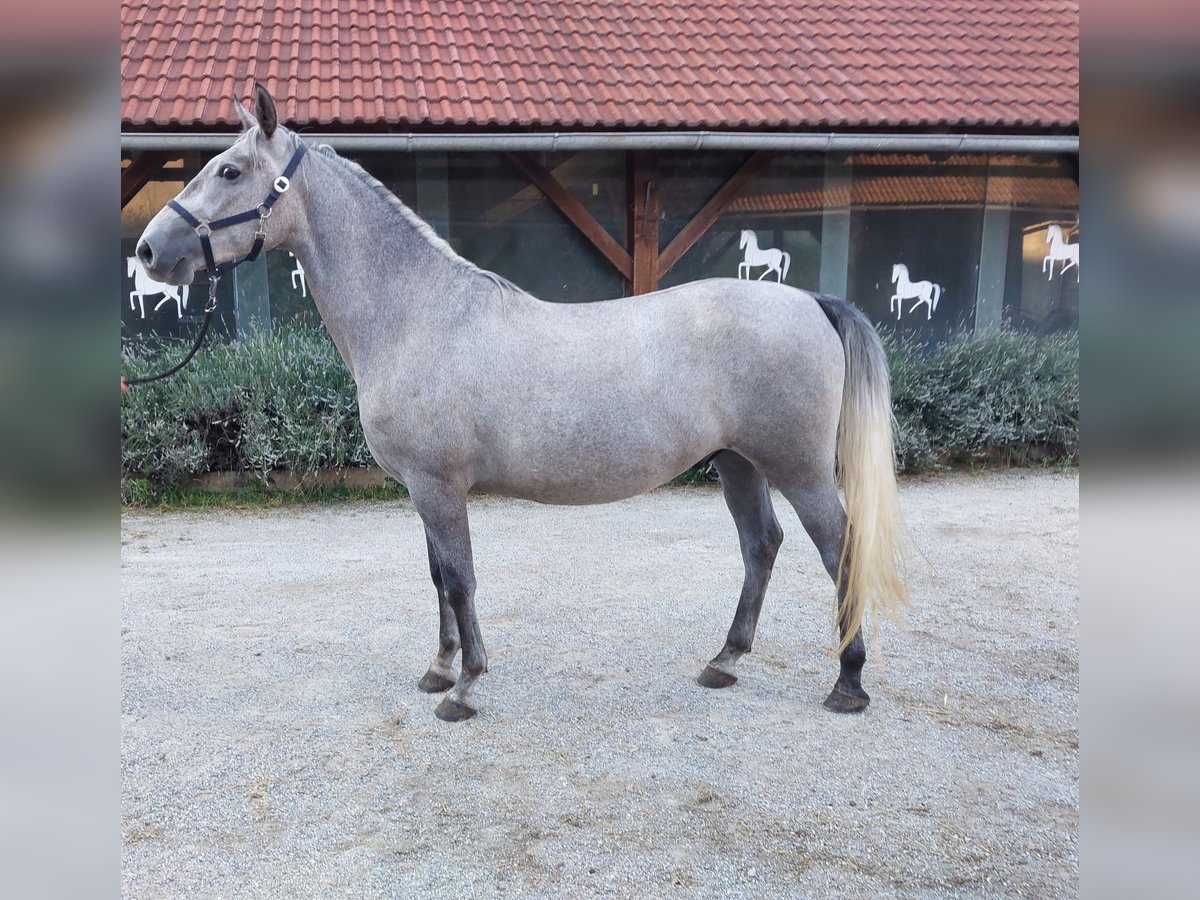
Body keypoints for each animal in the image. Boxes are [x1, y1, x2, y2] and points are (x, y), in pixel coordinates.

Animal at [136, 88, 907, 724]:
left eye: (230, 171)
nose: (148, 250)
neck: (416, 315)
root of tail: (811, 300)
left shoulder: (438, 485)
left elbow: (460, 578)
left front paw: (465, 687)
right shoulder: (423, 488)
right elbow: (439, 578)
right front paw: (439, 668)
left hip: (800, 468)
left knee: (838, 548)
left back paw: (848, 682)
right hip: (737, 462)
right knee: (760, 545)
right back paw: (724, 661)